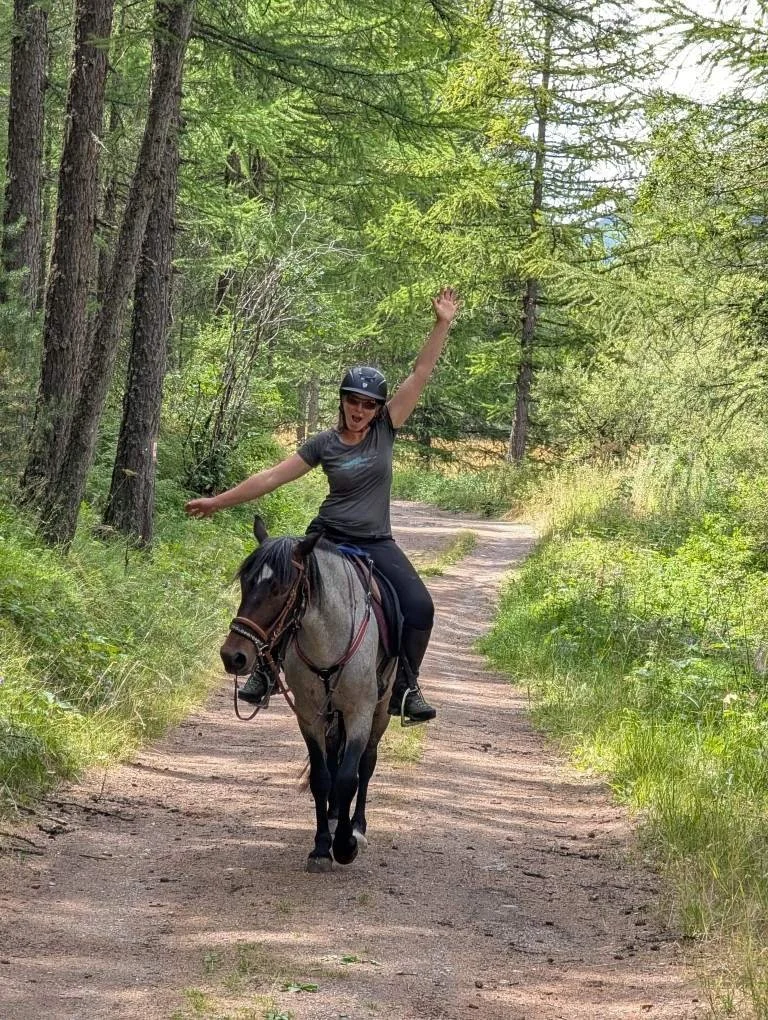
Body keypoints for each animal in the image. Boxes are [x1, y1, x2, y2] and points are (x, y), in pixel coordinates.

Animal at [219, 516, 398, 872]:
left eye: (280, 588)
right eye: (245, 582)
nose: (234, 656)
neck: (328, 638)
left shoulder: (359, 713)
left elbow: (348, 777)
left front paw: (345, 845)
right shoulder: (309, 715)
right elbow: (322, 777)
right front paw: (321, 847)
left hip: (381, 710)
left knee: (367, 763)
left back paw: (357, 827)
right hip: (330, 715)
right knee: (334, 758)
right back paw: (333, 817)